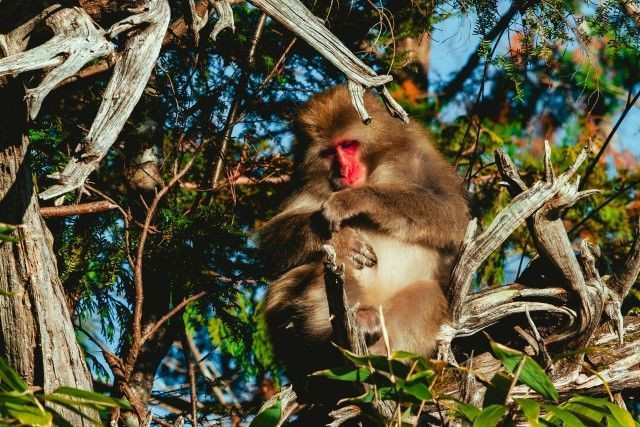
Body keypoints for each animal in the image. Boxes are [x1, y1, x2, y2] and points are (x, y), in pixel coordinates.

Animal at [256, 86, 470, 402]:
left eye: (348, 146)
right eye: (329, 152)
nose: (343, 171)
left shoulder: (418, 157)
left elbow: (452, 215)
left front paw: (358, 200)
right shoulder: (306, 184)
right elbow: (271, 247)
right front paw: (340, 238)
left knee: (427, 296)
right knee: (301, 277)